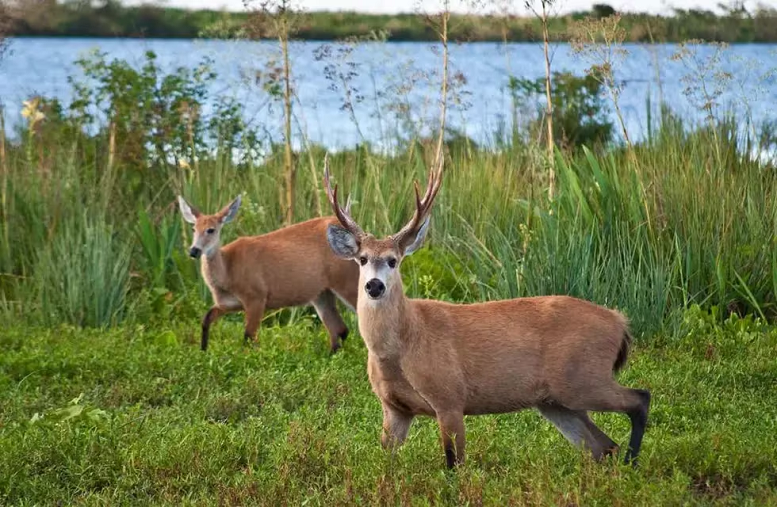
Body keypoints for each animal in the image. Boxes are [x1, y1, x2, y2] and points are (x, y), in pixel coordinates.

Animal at [177, 195, 360, 353]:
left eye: (211, 230)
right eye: (193, 228)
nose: (194, 251)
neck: (228, 272)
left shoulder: (256, 296)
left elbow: (249, 336)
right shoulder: (228, 303)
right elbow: (206, 318)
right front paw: (203, 350)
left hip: (347, 280)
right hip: (321, 293)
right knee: (340, 330)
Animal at [322, 155, 651, 469]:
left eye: (393, 260)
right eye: (363, 259)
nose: (374, 286)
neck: (402, 344)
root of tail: (620, 321)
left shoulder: (449, 397)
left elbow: (454, 464)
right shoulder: (394, 409)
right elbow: (386, 462)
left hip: (583, 377)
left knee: (639, 399)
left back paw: (633, 465)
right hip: (556, 401)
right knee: (603, 446)